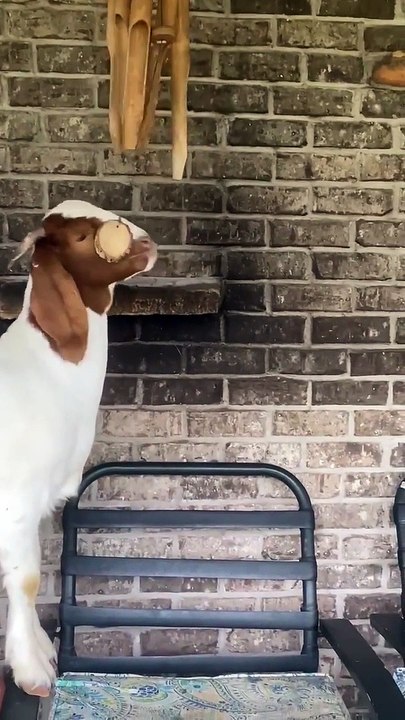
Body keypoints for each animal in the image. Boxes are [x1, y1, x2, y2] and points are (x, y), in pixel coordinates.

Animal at [0, 200, 157, 697]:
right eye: (84, 237)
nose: (148, 242)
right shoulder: (15, 502)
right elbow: (28, 580)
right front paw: (32, 672)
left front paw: (41, 651)